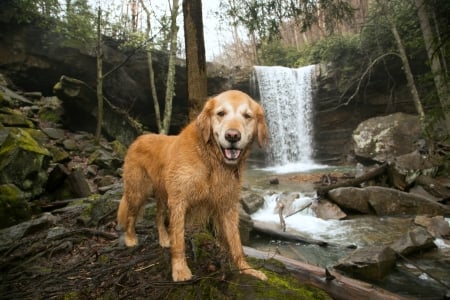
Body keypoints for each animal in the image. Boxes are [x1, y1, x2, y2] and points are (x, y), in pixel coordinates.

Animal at [118, 89, 268, 282]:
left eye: (247, 116)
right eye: (221, 113)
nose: (233, 136)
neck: (211, 159)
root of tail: (139, 138)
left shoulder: (227, 205)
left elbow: (236, 242)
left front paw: (246, 269)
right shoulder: (179, 202)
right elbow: (179, 240)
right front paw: (180, 270)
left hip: (163, 195)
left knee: (158, 217)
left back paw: (164, 239)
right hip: (138, 191)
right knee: (131, 216)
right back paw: (130, 239)